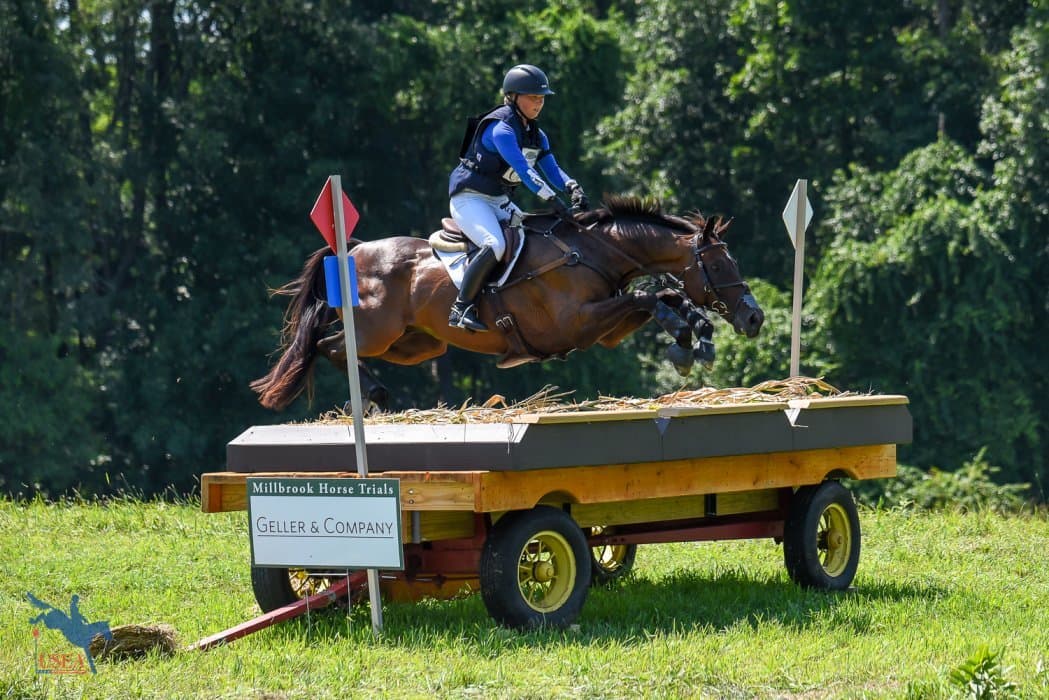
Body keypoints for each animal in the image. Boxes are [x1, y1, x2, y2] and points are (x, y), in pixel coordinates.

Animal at [251, 196, 764, 411]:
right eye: (720, 264)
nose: (754, 317)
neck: (595, 252)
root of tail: (351, 252)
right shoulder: (576, 325)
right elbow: (650, 297)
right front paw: (684, 343)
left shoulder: (605, 329)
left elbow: (662, 295)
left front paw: (698, 337)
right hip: (379, 331)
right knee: (331, 346)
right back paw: (374, 395)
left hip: (420, 345)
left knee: (342, 348)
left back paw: (376, 395)